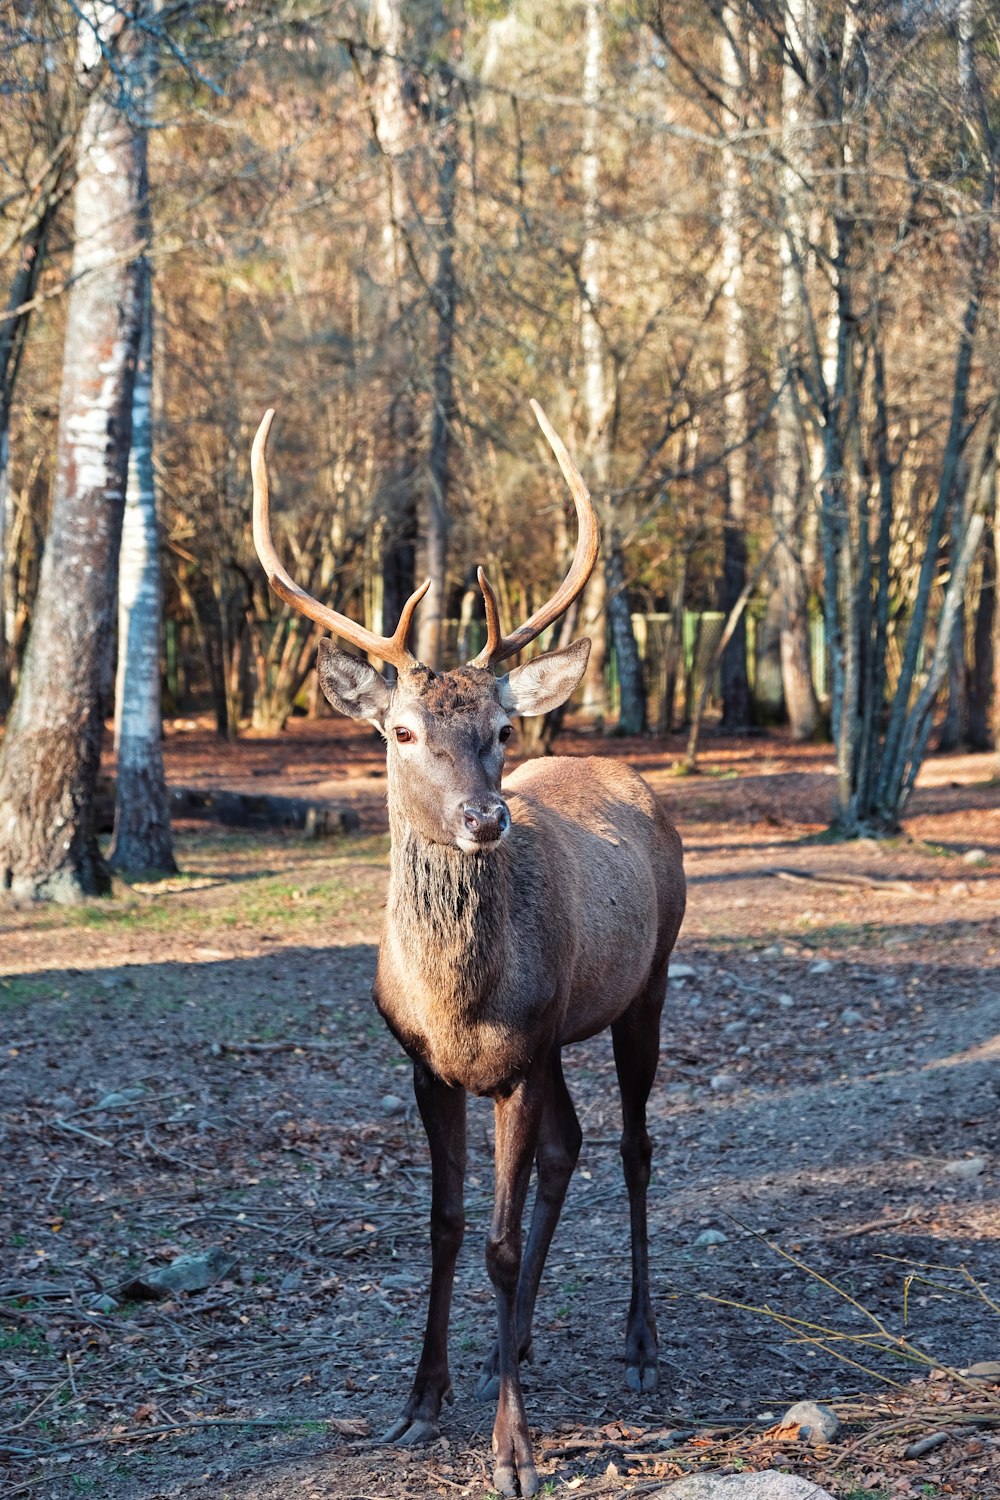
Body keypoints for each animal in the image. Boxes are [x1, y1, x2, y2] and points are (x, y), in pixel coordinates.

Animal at [251, 402, 689, 1500]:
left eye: (498, 726)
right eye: (401, 731)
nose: (486, 817)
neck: (458, 1003)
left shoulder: (519, 1059)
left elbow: (495, 1236)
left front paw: (512, 1450)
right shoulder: (428, 1065)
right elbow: (447, 1224)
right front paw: (420, 1400)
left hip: (647, 984)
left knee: (632, 1146)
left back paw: (639, 1343)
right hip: (560, 1033)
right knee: (570, 1149)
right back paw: (517, 1340)